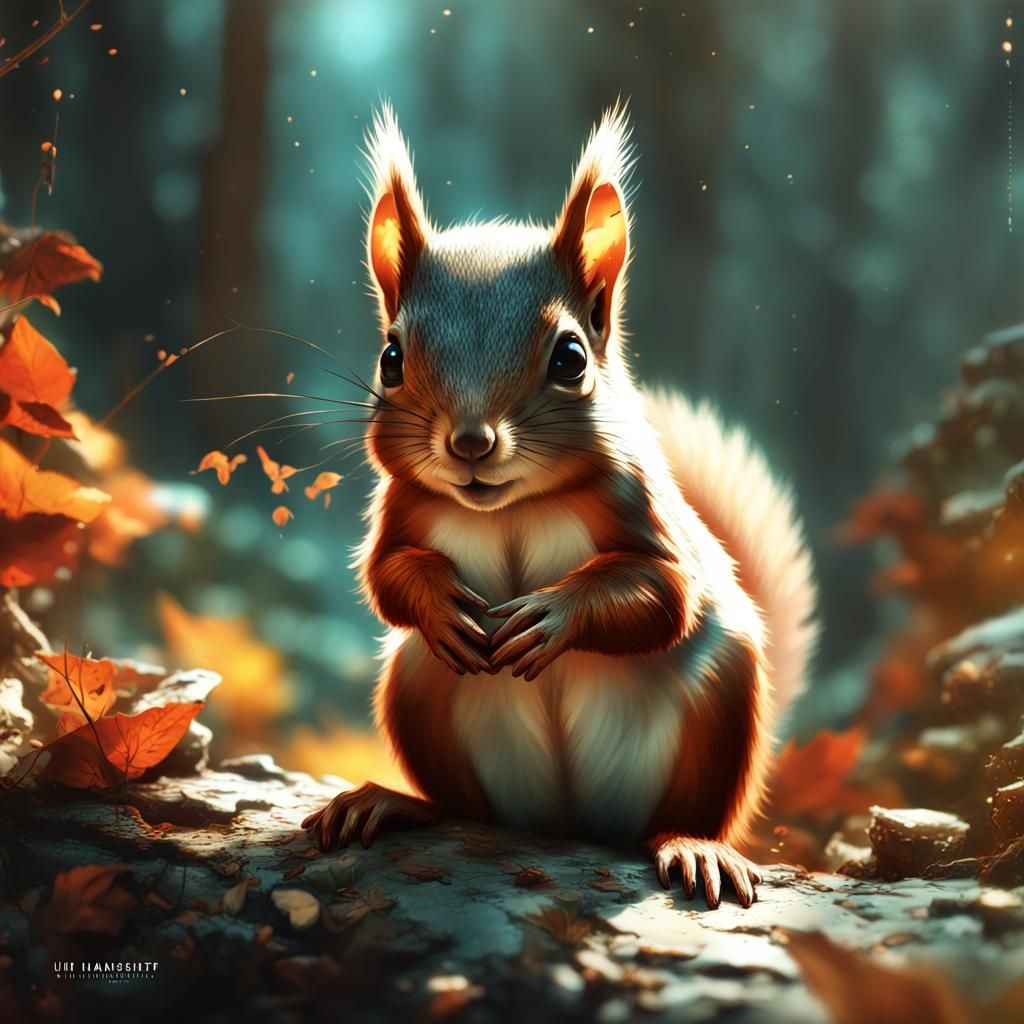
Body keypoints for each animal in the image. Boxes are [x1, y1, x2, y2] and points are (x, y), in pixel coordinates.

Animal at [303, 104, 818, 909]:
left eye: (571, 358)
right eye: (390, 358)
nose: (470, 442)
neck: (509, 508)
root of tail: (566, 821)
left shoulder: (636, 500)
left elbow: (665, 591)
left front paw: (550, 615)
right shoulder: (402, 508)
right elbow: (385, 575)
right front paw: (438, 602)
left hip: (725, 704)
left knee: (687, 814)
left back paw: (696, 845)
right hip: (416, 688)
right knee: (463, 807)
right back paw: (395, 804)